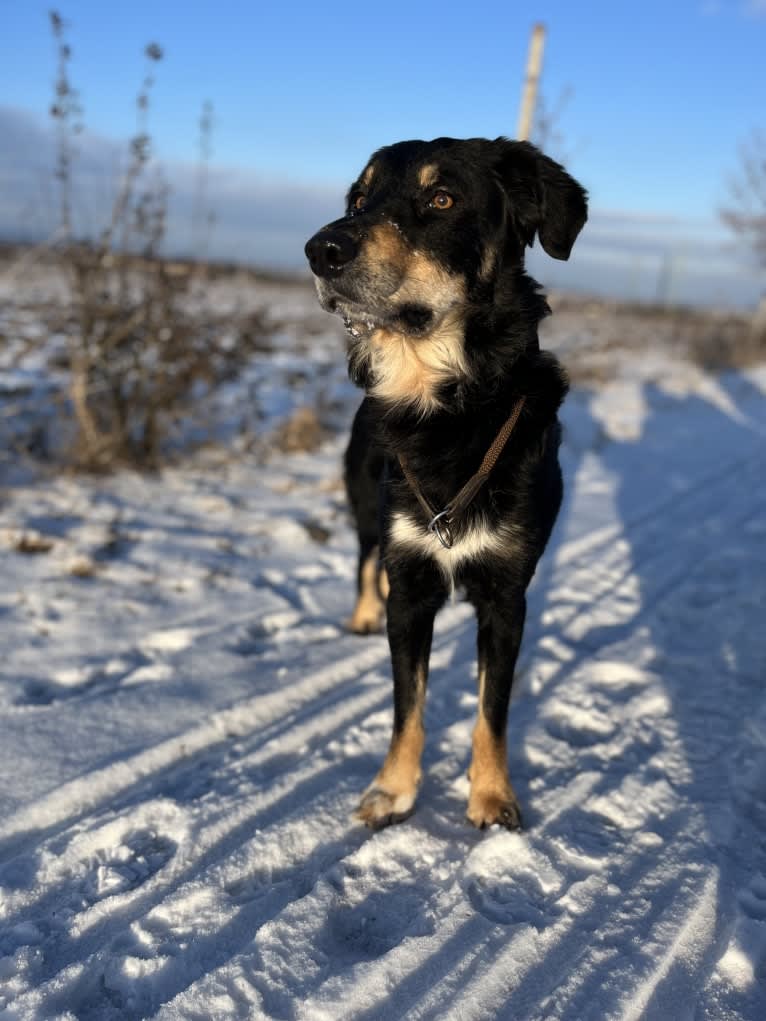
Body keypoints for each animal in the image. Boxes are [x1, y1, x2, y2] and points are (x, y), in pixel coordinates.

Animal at [304, 135, 588, 829]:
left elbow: (493, 709)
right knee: (364, 559)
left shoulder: (507, 595)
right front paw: (393, 789)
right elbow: (408, 704)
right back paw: (360, 612)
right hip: (364, 503)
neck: (444, 408)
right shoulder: (410, 586)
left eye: (441, 199)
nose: (322, 250)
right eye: (360, 199)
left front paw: (492, 795)